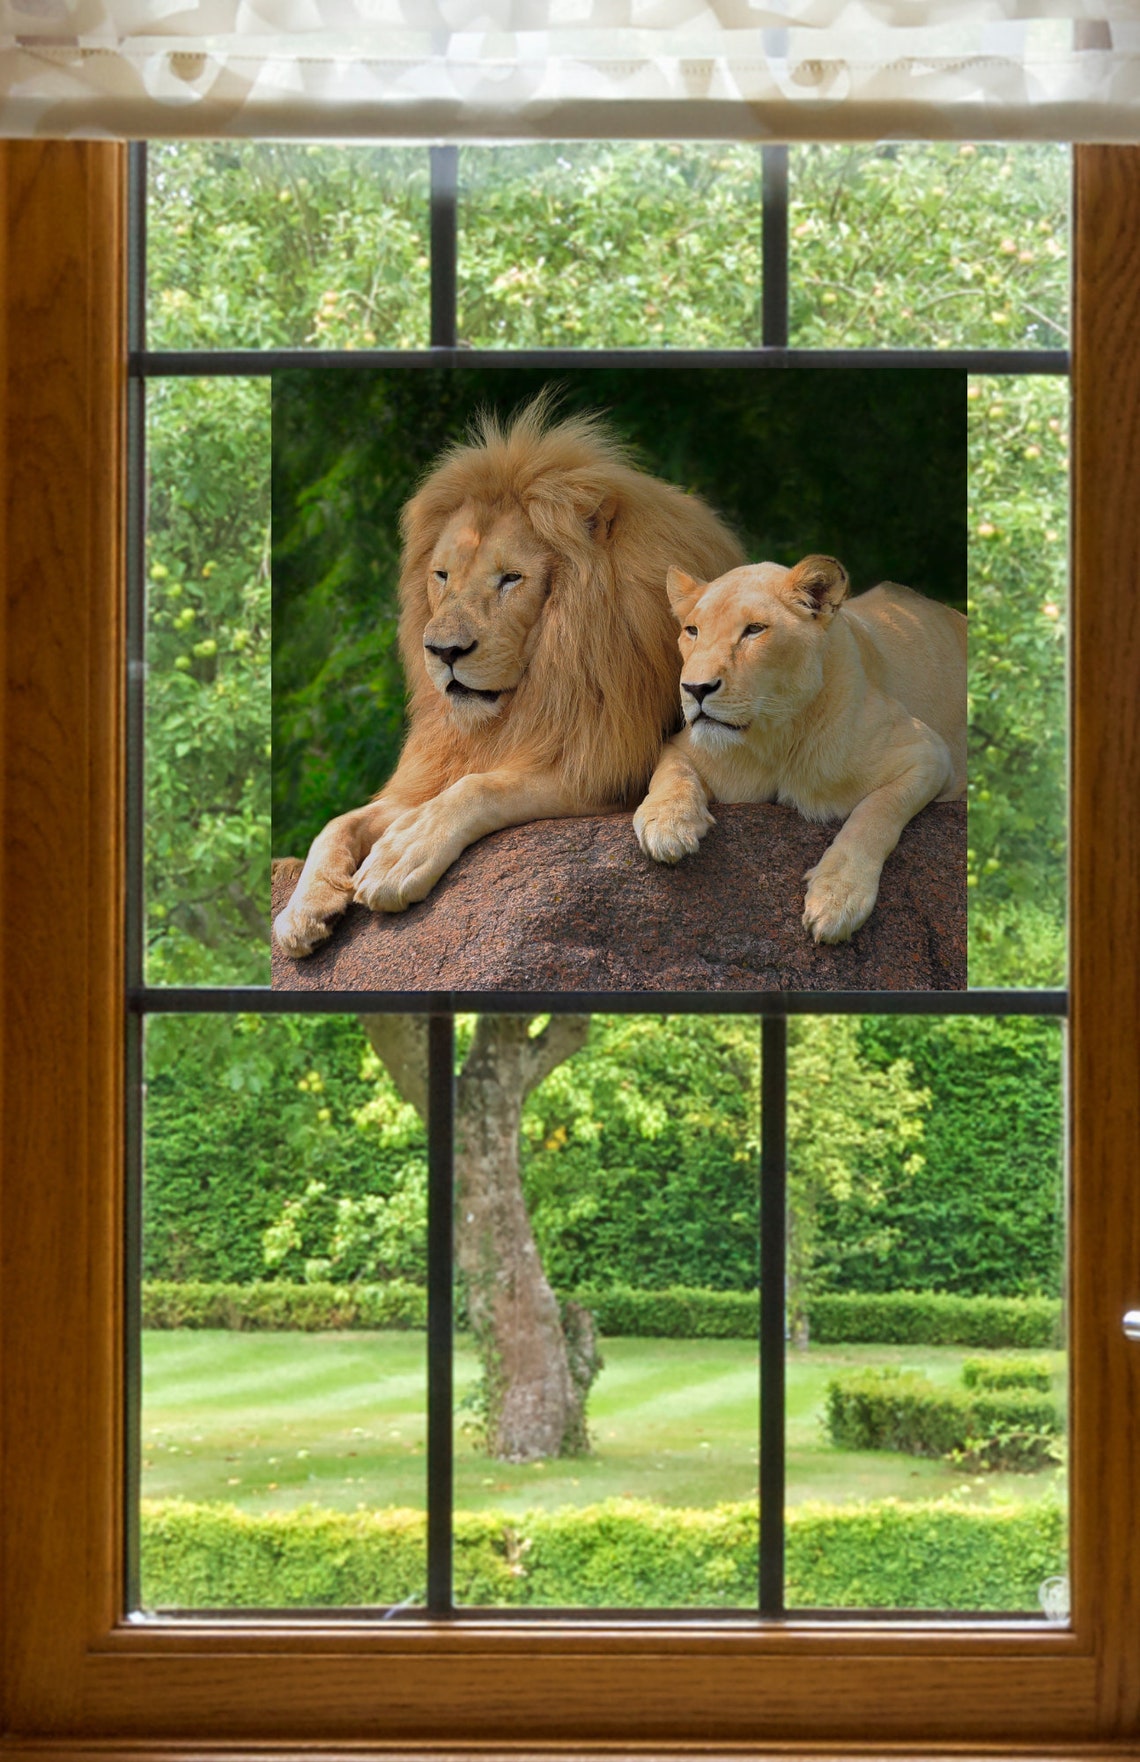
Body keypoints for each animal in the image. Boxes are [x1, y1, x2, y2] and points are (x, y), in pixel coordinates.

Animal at [274, 395, 745, 958]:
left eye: (511, 579)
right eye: (442, 575)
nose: (443, 651)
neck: (531, 691)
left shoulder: (604, 764)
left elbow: (482, 788)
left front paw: (401, 854)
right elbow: (339, 821)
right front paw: (302, 908)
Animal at [633, 554, 967, 944]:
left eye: (754, 629)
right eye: (693, 631)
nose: (695, 688)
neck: (776, 738)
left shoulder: (928, 752)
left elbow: (874, 814)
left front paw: (837, 897)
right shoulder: (683, 744)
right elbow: (672, 773)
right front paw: (667, 825)